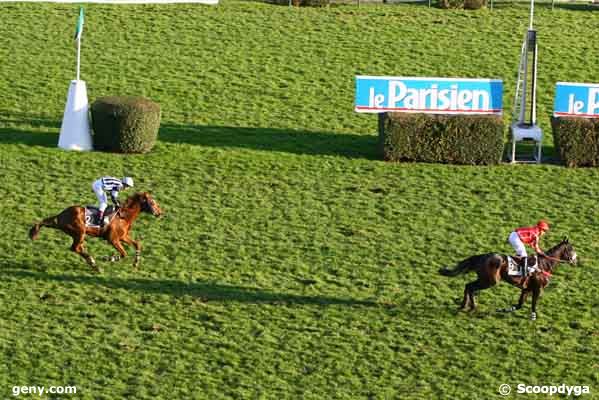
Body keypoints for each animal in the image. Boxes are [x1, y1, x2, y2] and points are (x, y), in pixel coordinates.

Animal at [29, 192, 162, 274]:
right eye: (152, 202)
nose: (160, 213)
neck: (124, 216)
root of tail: (60, 216)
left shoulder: (123, 236)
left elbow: (137, 244)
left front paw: (136, 263)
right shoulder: (113, 239)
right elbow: (123, 253)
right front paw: (109, 258)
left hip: (76, 234)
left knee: (78, 248)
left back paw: (93, 264)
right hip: (80, 232)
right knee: (75, 248)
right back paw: (95, 264)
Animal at [440, 239, 576, 320]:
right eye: (571, 249)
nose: (575, 260)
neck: (544, 265)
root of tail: (481, 256)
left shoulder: (526, 289)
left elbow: (519, 305)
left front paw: (503, 309)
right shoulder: (537, 289)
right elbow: (533, 304)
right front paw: (533, 316)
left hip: (485, 279)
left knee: (468, 286)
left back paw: (464, 306)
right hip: (490, 281)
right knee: (470, 287)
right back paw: (472, 307)